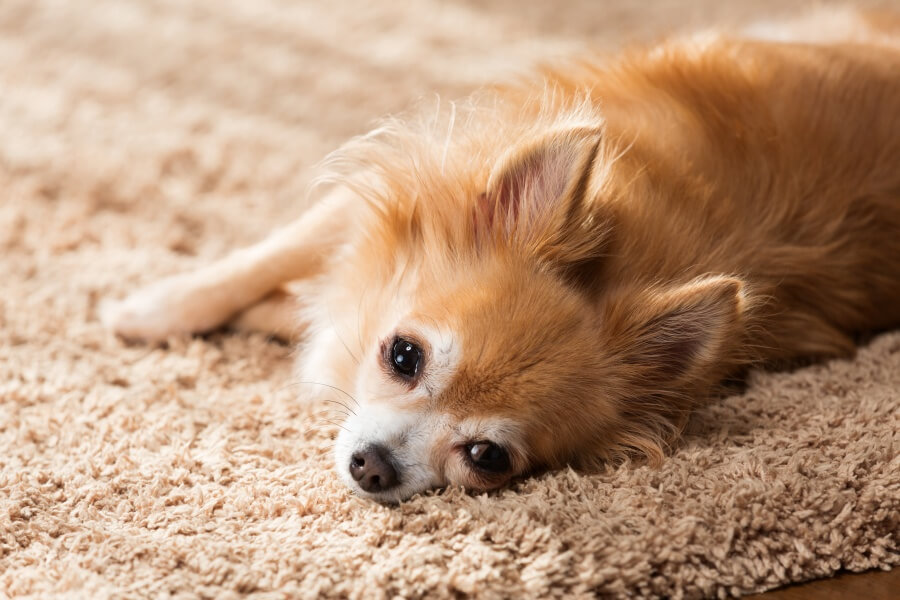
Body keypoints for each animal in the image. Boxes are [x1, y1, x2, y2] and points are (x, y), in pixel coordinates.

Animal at [102, 11, 900, 504]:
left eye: (487, 459)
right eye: (403, 357)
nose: (375, 467)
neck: (631, 248)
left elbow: (303, 305)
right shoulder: (422, 185)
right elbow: (266, 259)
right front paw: (148, 310)